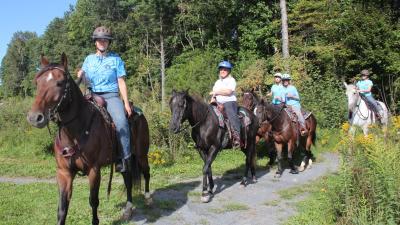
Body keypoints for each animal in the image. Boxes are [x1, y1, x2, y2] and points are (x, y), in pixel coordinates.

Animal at [26, 53, 152, 225]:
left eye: (60, 83)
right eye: (37, 82)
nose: (34, 118)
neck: (74, 133)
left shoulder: (94, 170)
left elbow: (93, 201)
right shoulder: (64, 173)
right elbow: (62, 209)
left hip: (141, 154)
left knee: (146, 172)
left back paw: (148, 199)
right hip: (123, 161)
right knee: (128, 179)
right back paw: (127, 210)